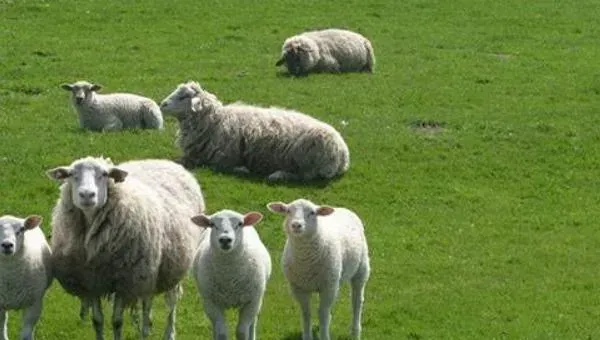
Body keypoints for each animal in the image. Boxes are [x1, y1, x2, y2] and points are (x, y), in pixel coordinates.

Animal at [46, 157, 206, 340]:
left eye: (104, 174)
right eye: (71, 174)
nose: (87, 195)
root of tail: (166, 161)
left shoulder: (124, 282)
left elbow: (117, 321)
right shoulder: (91, 281)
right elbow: (97, 320)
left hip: (172, 266)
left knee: (172, 301)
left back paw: (168, 332)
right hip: (150, 272)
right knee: (147, 301)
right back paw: (147, 327)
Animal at [158, 81, 352, 182]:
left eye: (184, 96)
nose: (162, 104)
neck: (215, 121)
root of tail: (344, 155)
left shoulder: (221, 159)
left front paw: (242, 169)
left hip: (308, 160)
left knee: (305, 176)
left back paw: (277, 175)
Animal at [190, 210, 272, 340]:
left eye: (240, 224)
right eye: (212, 224)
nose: (225, 240)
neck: (229, 275)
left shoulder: (252, 302)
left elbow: (242, 332)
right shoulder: (211, 302)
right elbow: (221, 332)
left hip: (256, 300)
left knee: (253, 323)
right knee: (215, 326)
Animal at [268, 198, 370, 340]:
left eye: (312, 212)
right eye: (288, 211)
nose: (296, 225)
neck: (305, 261)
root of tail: (342, 208)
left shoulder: (327, 287)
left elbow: (322, 314)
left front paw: (324, 335)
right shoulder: (298, 288)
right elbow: (306, 313)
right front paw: (307, 336)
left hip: (361, 269)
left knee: (356, 301)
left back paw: (355, 332)